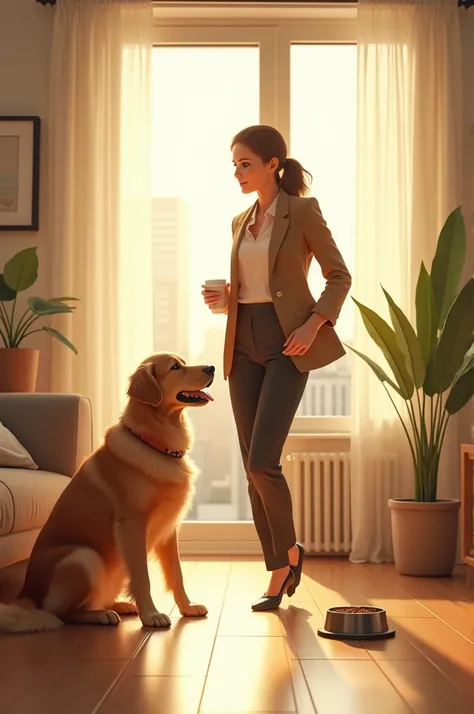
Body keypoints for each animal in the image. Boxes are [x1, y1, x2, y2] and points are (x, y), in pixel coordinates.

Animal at [0, 354, 213, 632]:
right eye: (175, 367)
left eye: (183, 362)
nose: (212, 368)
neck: (155, 444)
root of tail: (26, 592)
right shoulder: (132, 524)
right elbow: (142, 577)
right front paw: (151, 614)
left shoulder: (169, 529)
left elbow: (176, 573)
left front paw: (187, 607)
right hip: (85, 557)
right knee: (60, 613)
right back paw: (101, 615)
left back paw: (117, 605)